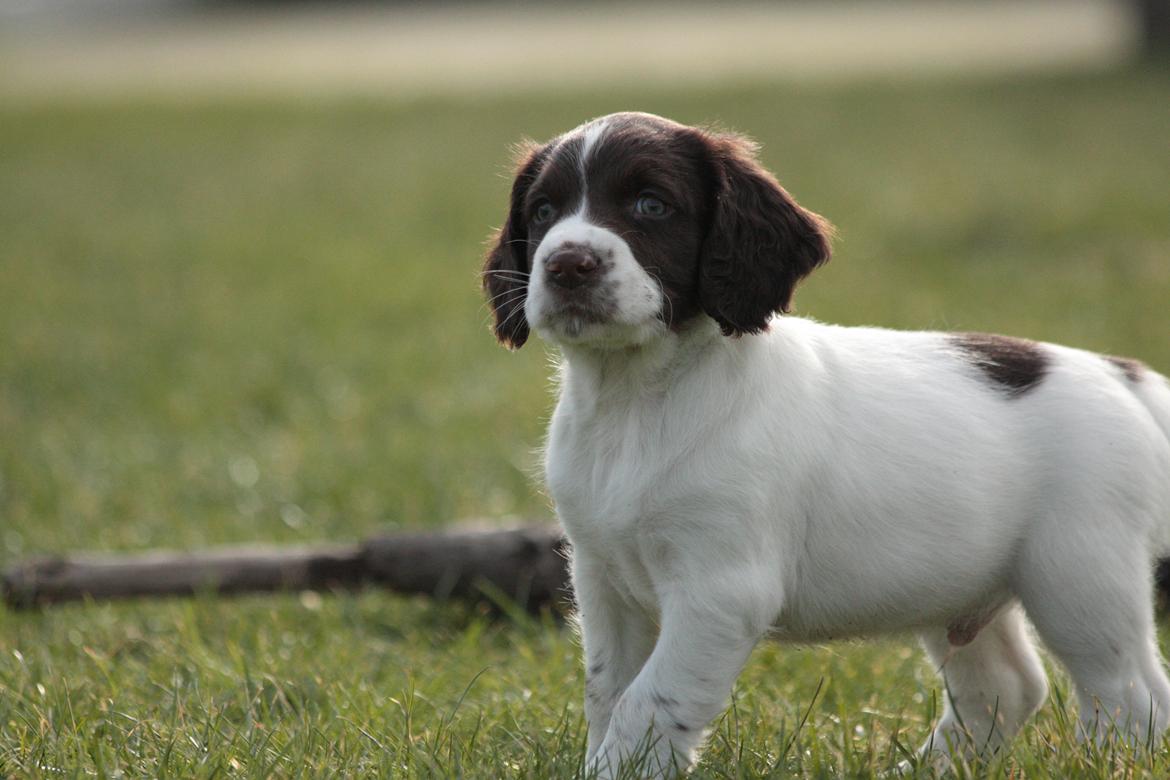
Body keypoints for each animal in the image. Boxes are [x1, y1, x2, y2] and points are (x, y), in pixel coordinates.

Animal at [479, 109, 1165, 776]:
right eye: (543, 211)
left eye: (651, 204)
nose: (566, 264)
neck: (637, 400)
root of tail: (1117, 372)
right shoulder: (603, 578)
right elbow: (608, 693)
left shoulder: (719, 589)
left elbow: (648, 703)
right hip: (968, 584)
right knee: (1007, 686)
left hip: (1078, 574)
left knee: (1131, 695)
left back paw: (1112, 763)